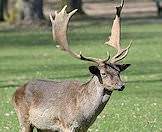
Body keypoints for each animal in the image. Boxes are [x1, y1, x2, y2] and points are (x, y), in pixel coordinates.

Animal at [12, 0, 132, 131]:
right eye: (103, 73)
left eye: (118, 72)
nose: (121, 85)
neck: (84, 114)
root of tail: (15, 92)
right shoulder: (67, 124)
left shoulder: (85, 127)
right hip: (24, 119)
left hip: (42, 127)